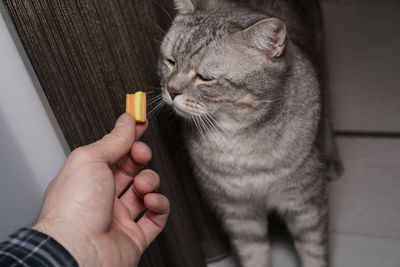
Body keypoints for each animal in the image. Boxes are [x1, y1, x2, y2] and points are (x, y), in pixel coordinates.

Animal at [156, 1, 340, 266]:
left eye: (205, 78)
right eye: (170, 62)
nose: (170, 90)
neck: (238, 138)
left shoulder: (307, 203)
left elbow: (314, 252)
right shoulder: (238, 212)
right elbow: (253, 254)